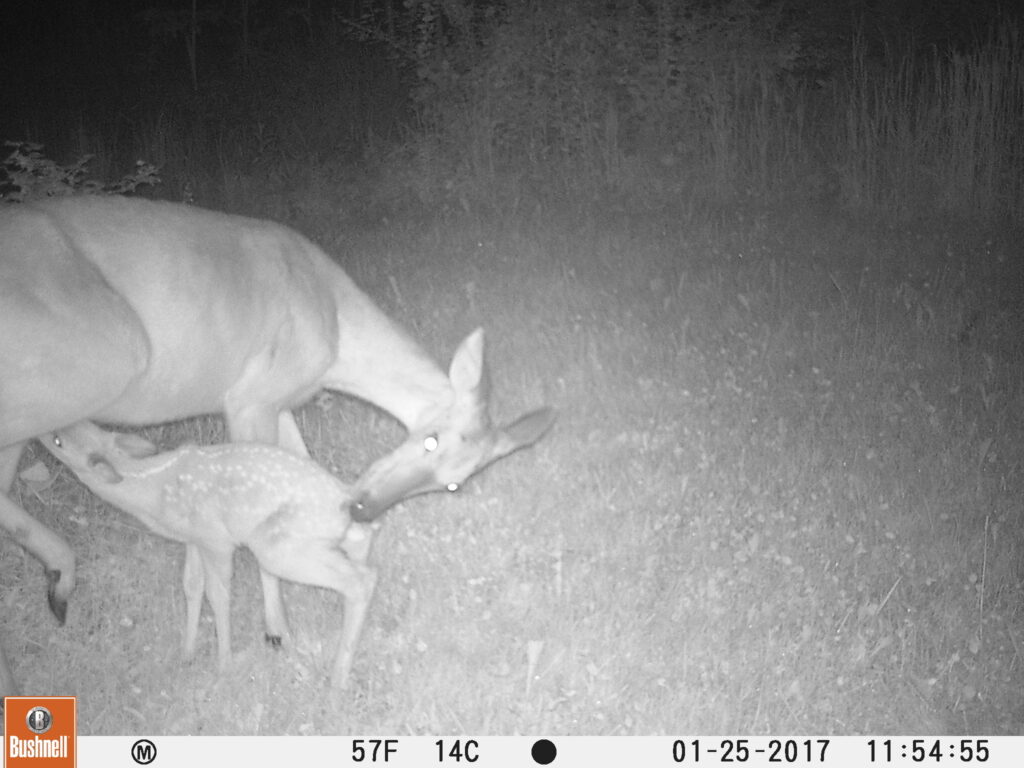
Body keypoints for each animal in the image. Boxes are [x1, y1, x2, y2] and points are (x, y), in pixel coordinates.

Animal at [0, 195, 555, 698]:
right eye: (430, 438)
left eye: (454, 484)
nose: (364, 507)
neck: (336, 329)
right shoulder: (249, 397)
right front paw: (276, 631)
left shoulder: (283, 400)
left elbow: (298, 466)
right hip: (101, 358)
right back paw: (59, 577)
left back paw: (53, 586)